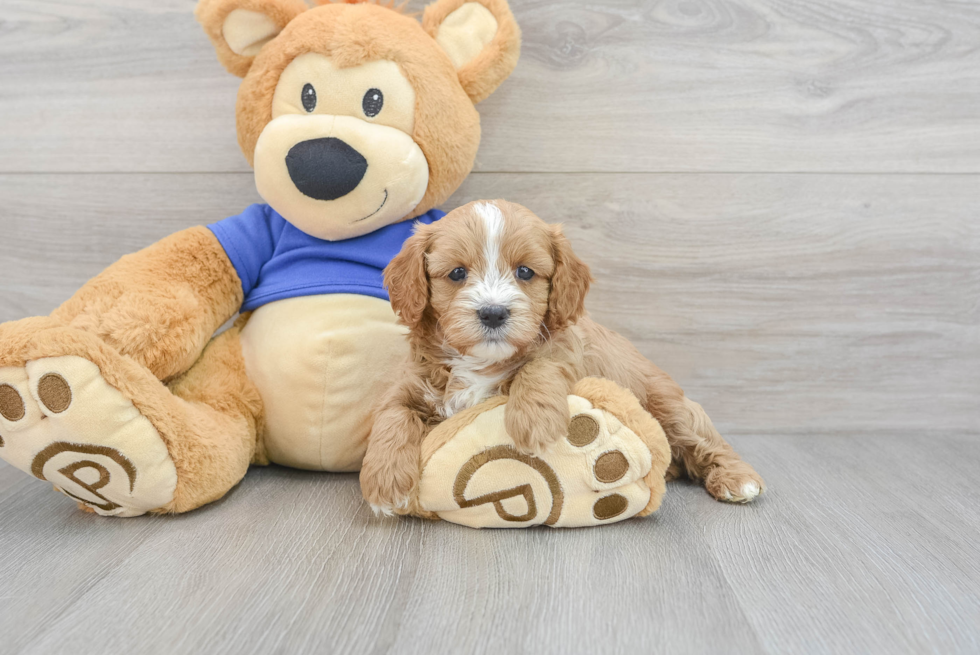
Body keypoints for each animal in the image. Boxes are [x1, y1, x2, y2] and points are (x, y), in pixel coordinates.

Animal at [362, 197, 764, 516]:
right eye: (457, 273)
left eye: (525, 272)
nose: (493, 313)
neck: (481, 362)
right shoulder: (411, 383)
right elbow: (392, 415)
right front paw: (384, 484)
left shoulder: (568, 350)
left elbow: (542, 364)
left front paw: (534, 420)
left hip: (670, 405)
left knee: (705, 440)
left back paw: (738, 479)